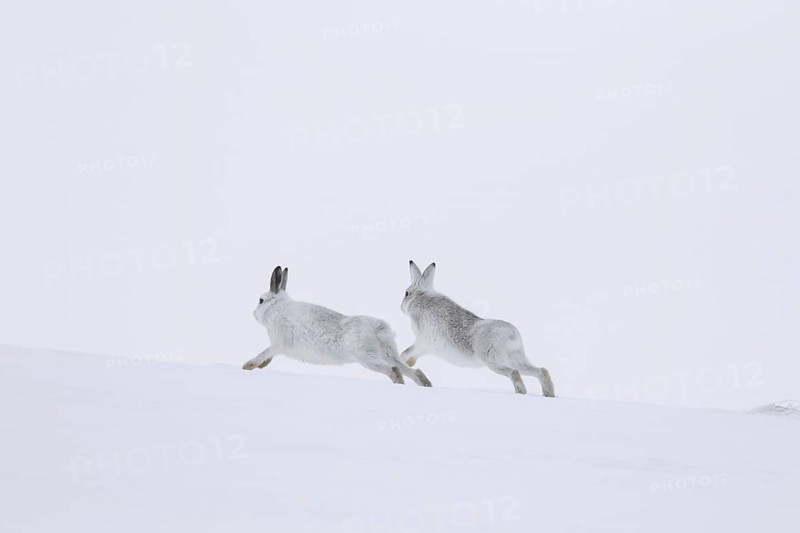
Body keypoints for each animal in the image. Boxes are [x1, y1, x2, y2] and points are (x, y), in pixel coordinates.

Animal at [243, 265, 432, 388]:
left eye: (260, 300)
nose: (253, 313)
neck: (276, 308)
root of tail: (377, 328)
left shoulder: (277, 343)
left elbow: (263, 353)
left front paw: (247, 366)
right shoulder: (277, 347)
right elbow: (267, 357)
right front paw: (259, 366)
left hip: (366, 357)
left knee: (393, 370)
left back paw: (398, 384)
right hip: (388, 353)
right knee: (411, 370)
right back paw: (425, 384)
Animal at [399, 260, 554, 397]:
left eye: (406, 293)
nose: (400, 307)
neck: (421, 296)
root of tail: (511, 335)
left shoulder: (422, 341)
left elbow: (408, 351)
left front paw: (404, 361)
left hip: (492, 359)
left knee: (513, 372)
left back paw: (521, 393)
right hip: (515, 357)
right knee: (540, 371)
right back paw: (548, 394)